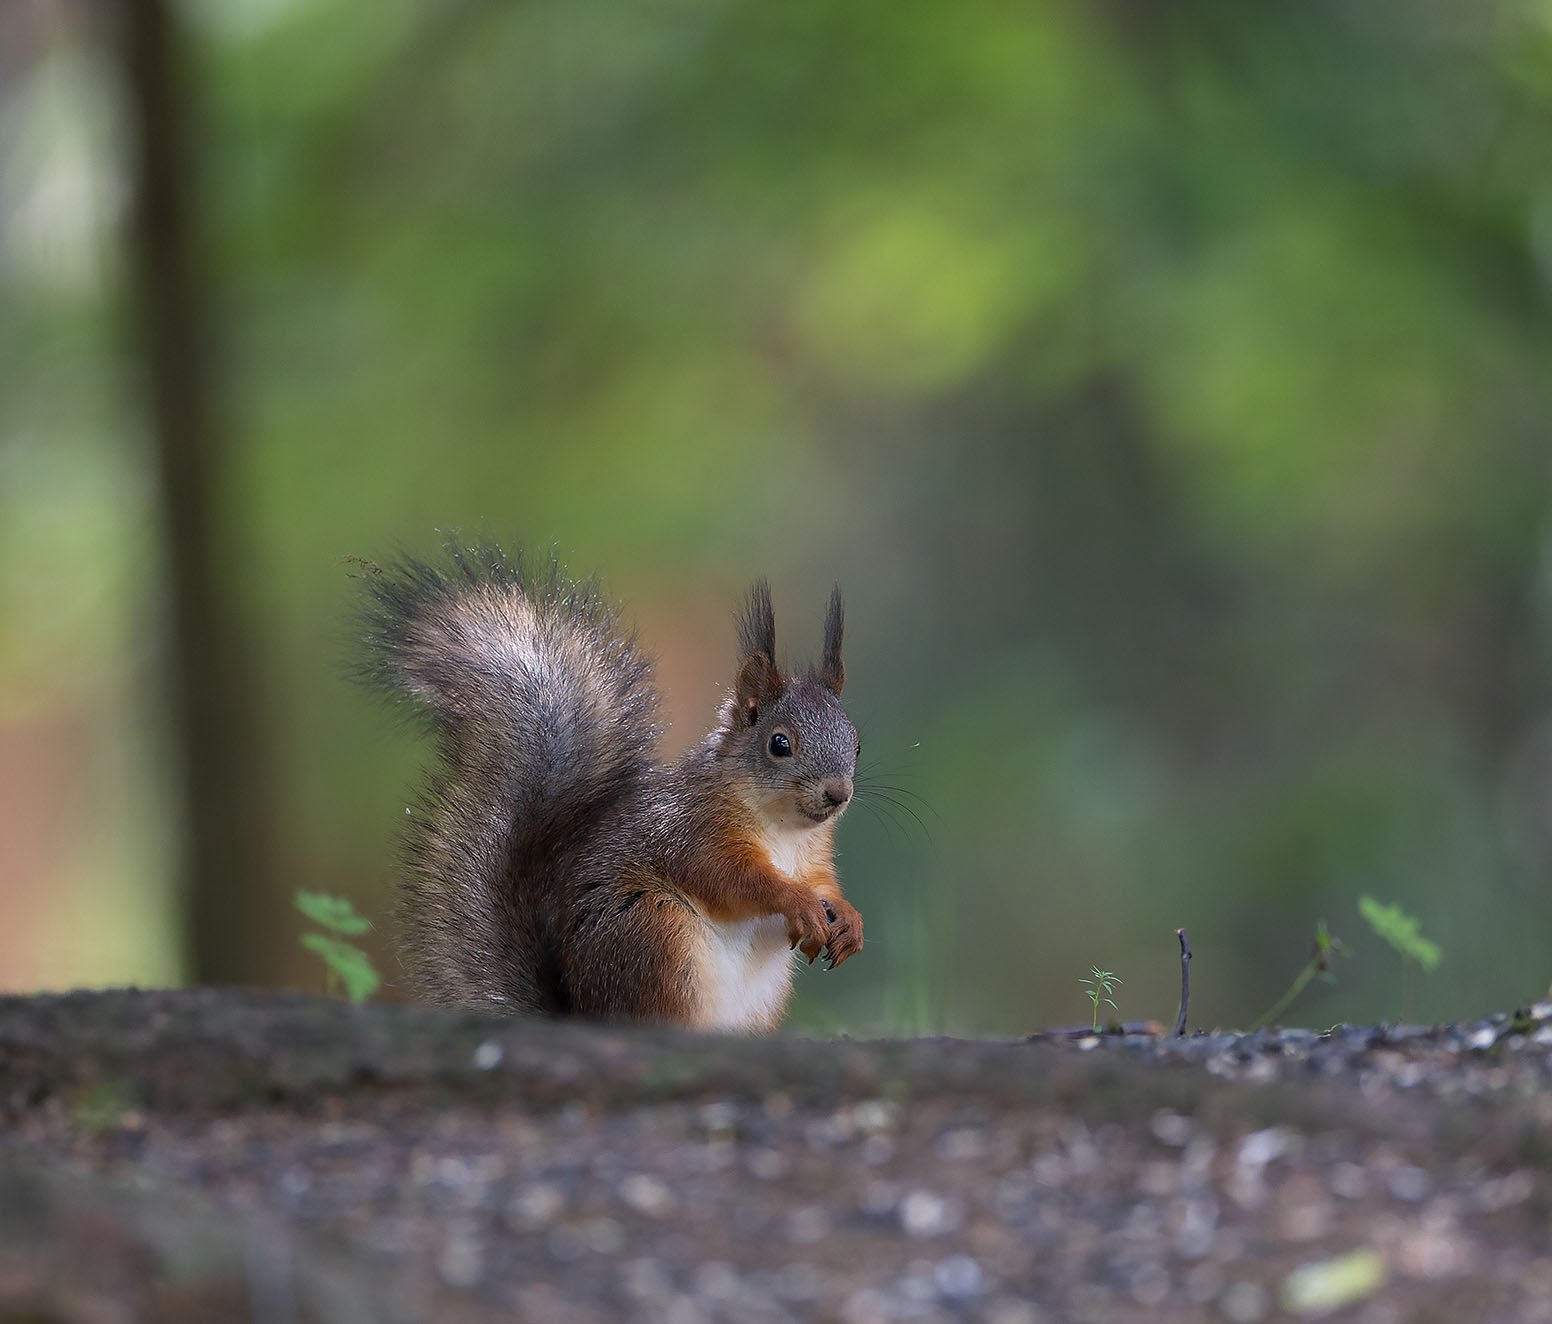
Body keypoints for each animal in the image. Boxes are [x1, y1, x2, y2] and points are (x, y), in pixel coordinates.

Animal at [363, 540, 869, 1030]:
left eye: (857, 742)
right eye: (779, 744)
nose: (837, 793)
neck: (782, 829)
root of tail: (585, 1015)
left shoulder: (813, 855)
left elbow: (823, 883)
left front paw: (848, 918)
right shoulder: (694, 829)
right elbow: (731, 878)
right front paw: (795, 901)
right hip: (653, 933)